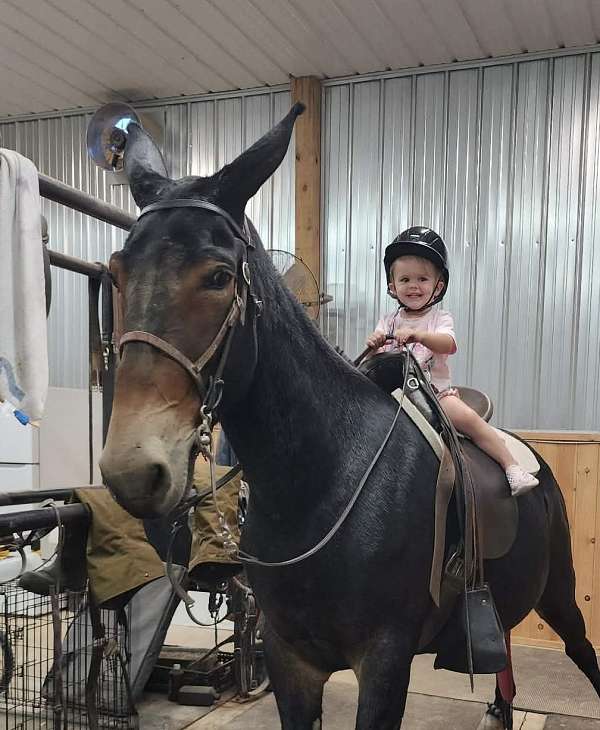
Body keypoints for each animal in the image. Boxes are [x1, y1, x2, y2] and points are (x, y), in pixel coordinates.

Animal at [99, 104, 600, 729]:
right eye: (116, 274)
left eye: (218, 277)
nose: (133, 470)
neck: (323, 480)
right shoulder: (290, 660)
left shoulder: (384, 660)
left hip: (560, 596)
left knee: (584, 652)